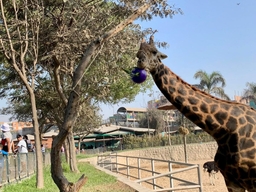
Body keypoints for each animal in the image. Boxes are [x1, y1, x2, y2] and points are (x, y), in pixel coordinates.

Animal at [137, 35, 256, 190]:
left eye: (154, 51)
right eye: (138, 52)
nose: (140, 61)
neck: (224, 130)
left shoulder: (251, 180)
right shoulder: (231, 181)